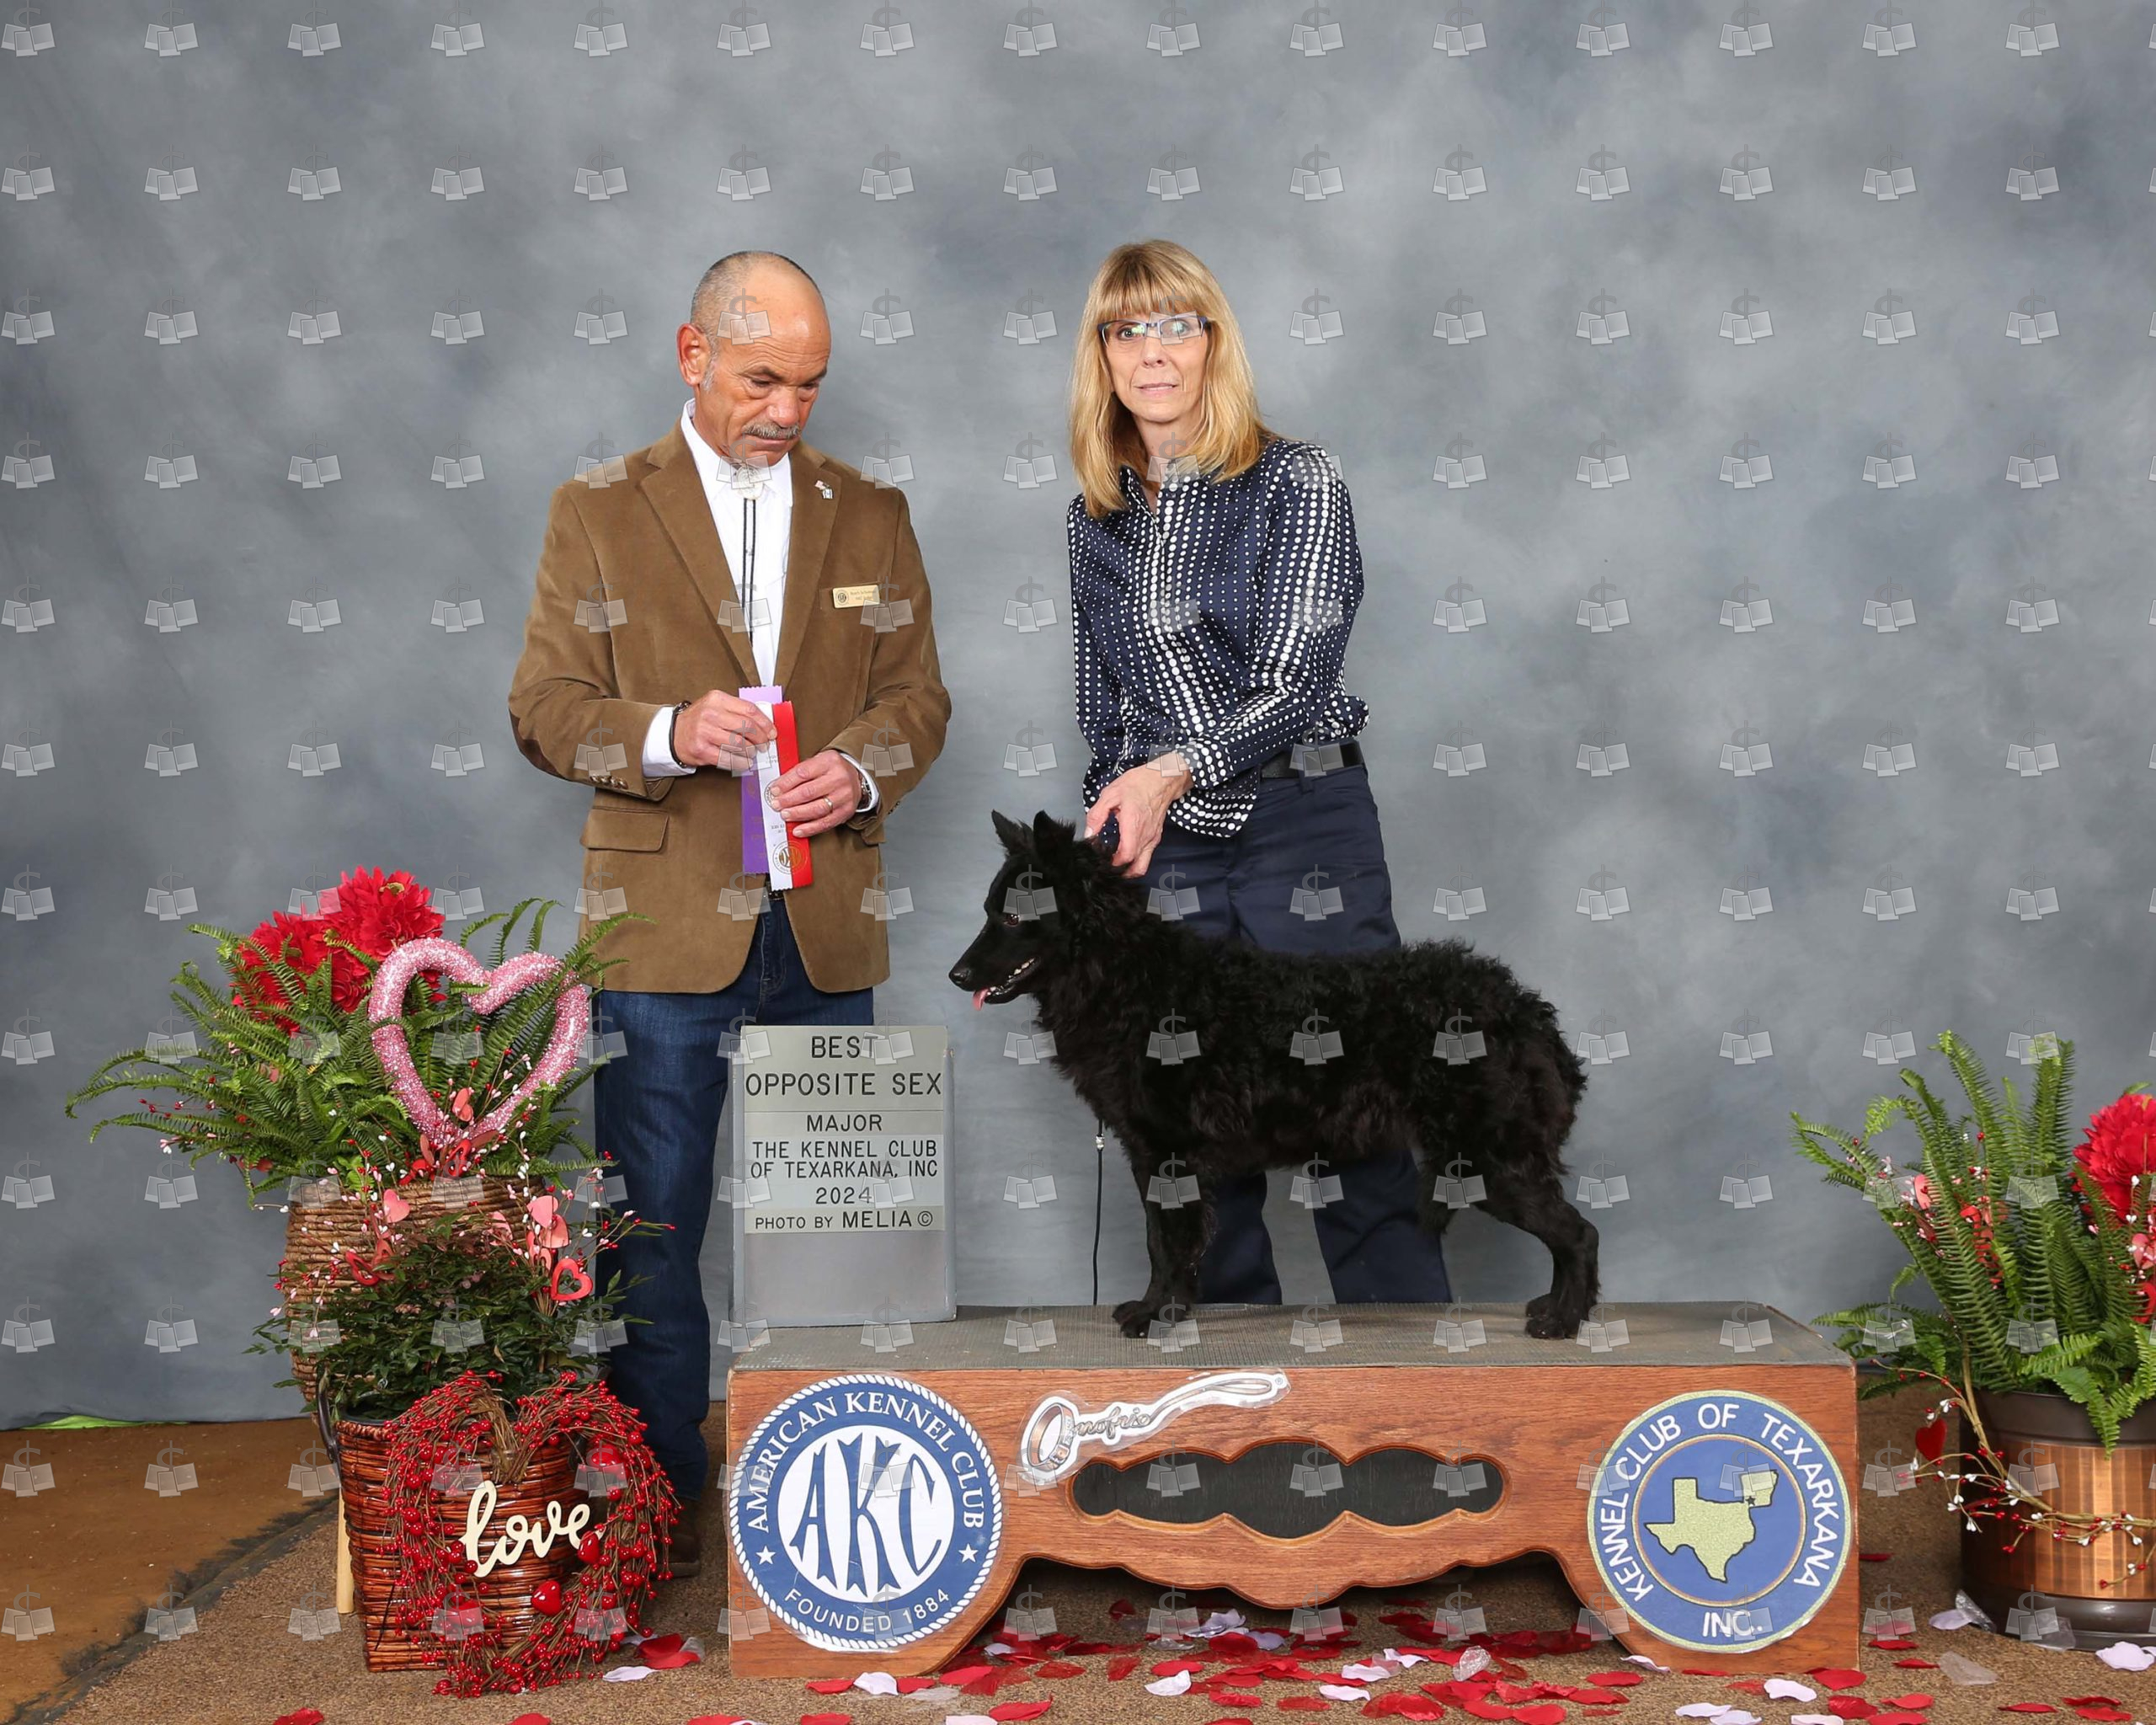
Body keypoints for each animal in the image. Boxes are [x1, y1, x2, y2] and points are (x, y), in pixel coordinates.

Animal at [948, 811, 1598, 1340]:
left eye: (1013, 917)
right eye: (987, 911)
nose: (957, 975)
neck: (1129, 978)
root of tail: (1522, 1008)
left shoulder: (1168, 1153)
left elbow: (1169, 1241)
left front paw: (1156, 1315)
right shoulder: (1148, 1154)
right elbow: (1163, 1241)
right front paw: (1164, 1308)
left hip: (1489, 1161)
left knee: (1578, 1233)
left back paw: (1563, 1321)